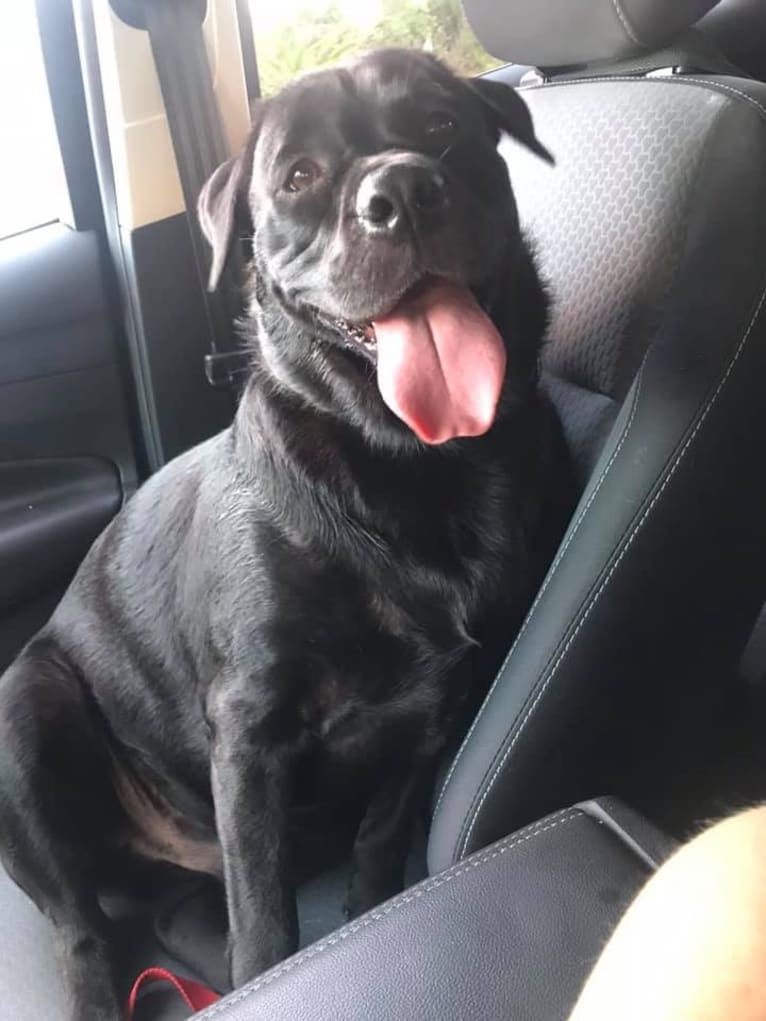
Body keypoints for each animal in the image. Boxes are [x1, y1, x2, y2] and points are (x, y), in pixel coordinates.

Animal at [0, 49, 571, 1021]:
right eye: (299, 177)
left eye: (441, 126)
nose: (402, 192)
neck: (408, 462)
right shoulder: (251, 729)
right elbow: (265, 918)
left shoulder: (432, 708)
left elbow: (380, 840)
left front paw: (369, 912)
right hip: (22, 706)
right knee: (82, 927)